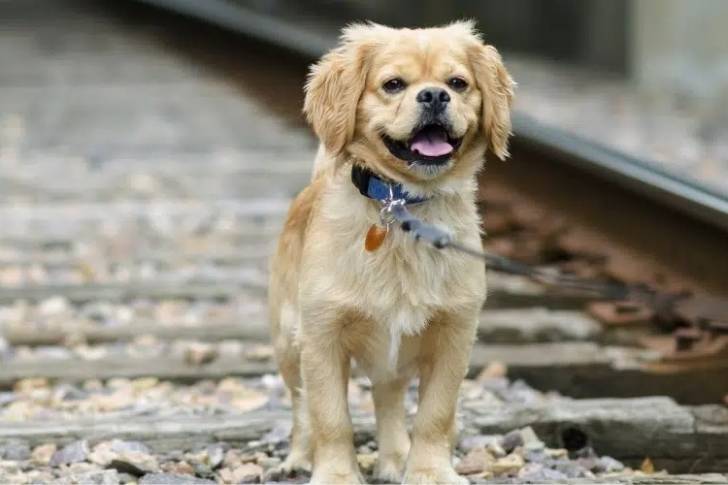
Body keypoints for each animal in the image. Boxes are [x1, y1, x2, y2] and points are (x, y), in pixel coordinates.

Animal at [270, 20, 516, 482]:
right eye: (393, 84)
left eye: (458, 84)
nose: (434, 95)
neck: (403, 204)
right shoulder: (322, 338)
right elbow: (330, 417)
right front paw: (336, 474)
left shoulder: (455, 336)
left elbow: (435, 416)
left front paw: (428, 472)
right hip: (288, 344)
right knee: (300, 406)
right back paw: (298, 458)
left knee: (389, 398)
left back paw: (395, 459)